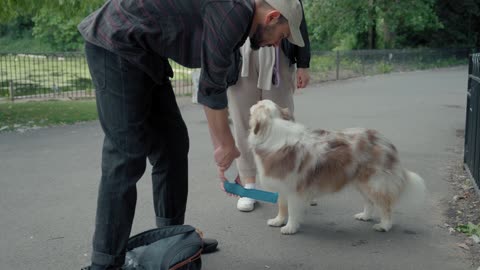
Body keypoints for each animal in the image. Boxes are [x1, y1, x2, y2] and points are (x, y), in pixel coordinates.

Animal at [249, 99, 426, 234]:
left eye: (257, 104)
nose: (252, 103)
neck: (272, 130)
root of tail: (385, 141)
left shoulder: (294, 188)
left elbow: (292, 210)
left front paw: (290, 228)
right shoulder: (283, 184)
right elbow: (282, 206)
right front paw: (278, 221)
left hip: (374, 182)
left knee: (385, 205)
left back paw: (384, 225)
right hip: (360, 182)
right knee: (369, 202)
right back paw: (365, 216)